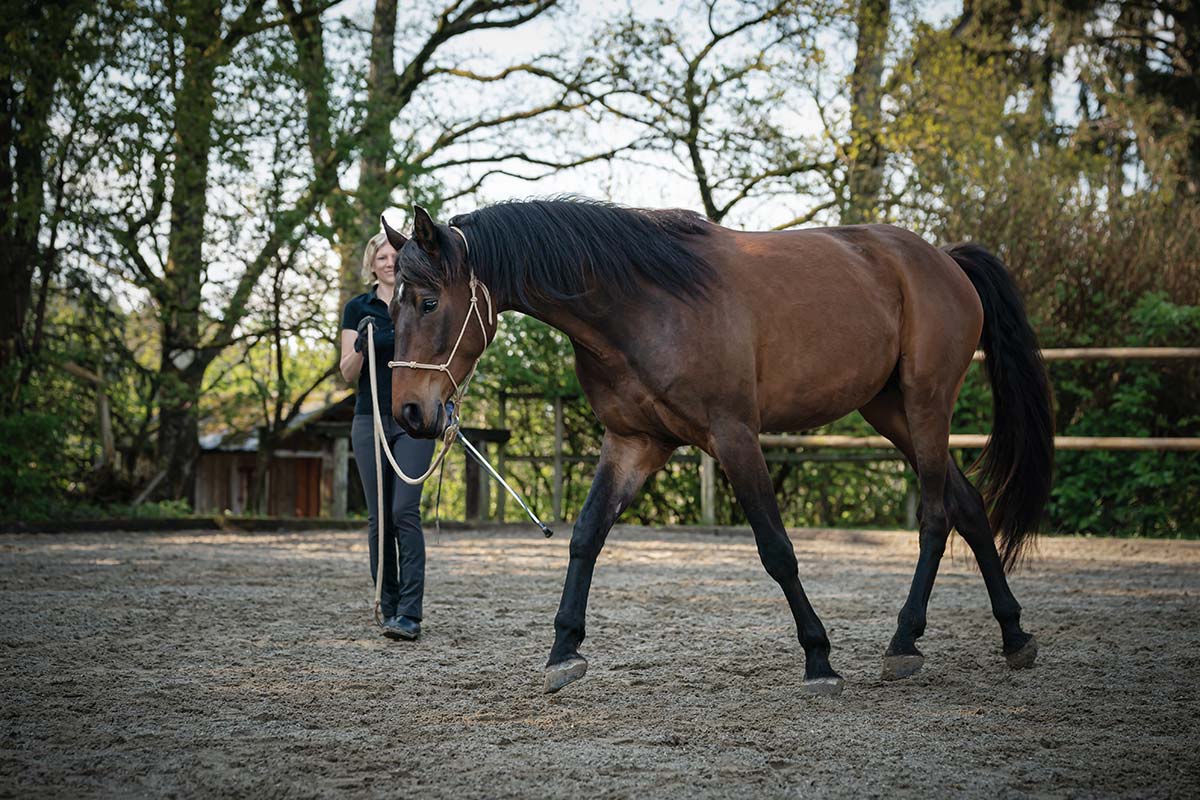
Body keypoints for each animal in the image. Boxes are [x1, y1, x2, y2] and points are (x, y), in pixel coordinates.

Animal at [379, 199, 1046, 695]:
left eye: (429, 302)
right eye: (391, 302)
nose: (409, 413)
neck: (644, 303)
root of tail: (943, 259)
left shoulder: (734, 436)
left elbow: (777, 550)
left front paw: (819, 658)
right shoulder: (634, 442)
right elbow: (586, 537)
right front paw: (564, 650)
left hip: (926, 403)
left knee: (936, 516)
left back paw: (905, 642)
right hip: (890, 410)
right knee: (968, 506)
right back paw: (1014, 635)